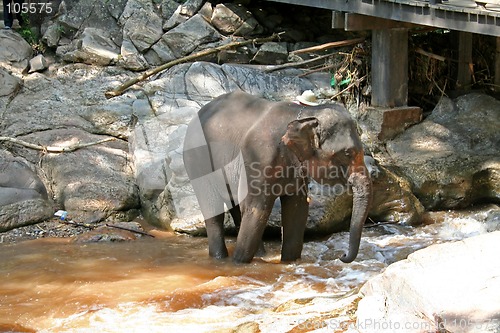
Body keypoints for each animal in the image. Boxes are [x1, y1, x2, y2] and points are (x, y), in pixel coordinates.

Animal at [183, 90, 372, 262]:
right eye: (347, 153)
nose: (342, 256)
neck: (305, 116)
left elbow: (297, 209)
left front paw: (289, 262)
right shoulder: (259, 157)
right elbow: (256, 208)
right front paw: (238, 263)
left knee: (236, 207)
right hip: (197, 157)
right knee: (213, 209)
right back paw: (220, 258)